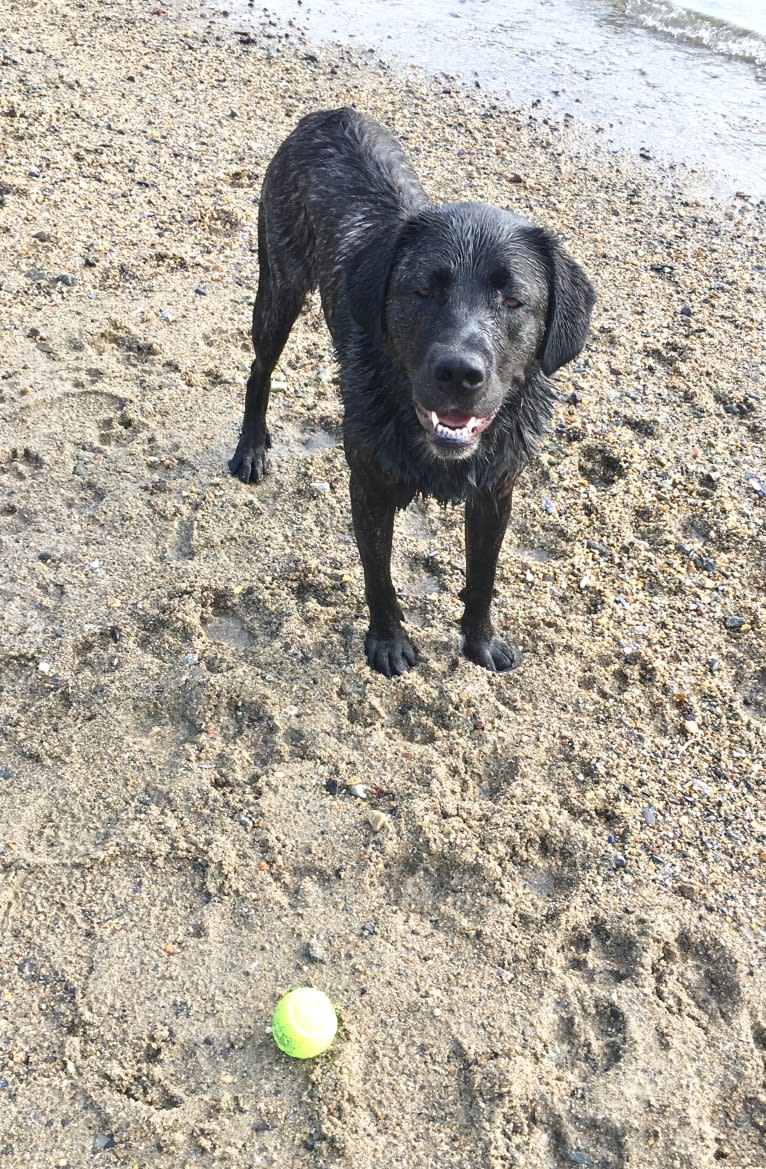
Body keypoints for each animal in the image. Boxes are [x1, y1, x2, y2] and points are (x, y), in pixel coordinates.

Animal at [230, 111, 596, 678]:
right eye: (422, 289)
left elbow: (484, 577)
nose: (459, 373)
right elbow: (378, 575)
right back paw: (251, 447)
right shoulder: (370, 488)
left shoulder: (496, 493)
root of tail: (328, 115)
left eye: (514, 301)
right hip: (278, 287)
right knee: (258, 369)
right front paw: (388, 641)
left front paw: (480, 641)